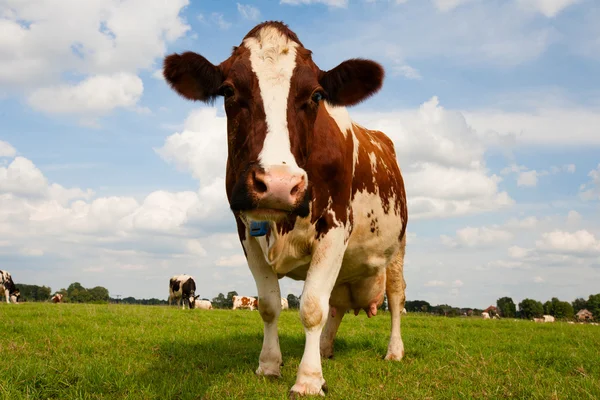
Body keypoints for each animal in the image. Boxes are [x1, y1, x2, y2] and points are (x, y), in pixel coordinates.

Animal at [162, 20, 410, 396]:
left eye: (316, 95)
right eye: (228, 91)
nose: (278, 184)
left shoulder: (335, 227)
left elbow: (311, 307)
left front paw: (308, 380)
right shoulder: (246, 231)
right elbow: (268, 304)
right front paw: (269, 365)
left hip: (397, 248)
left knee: (394, 299)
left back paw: (393, 351)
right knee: (337, 303)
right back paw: (326, 348)